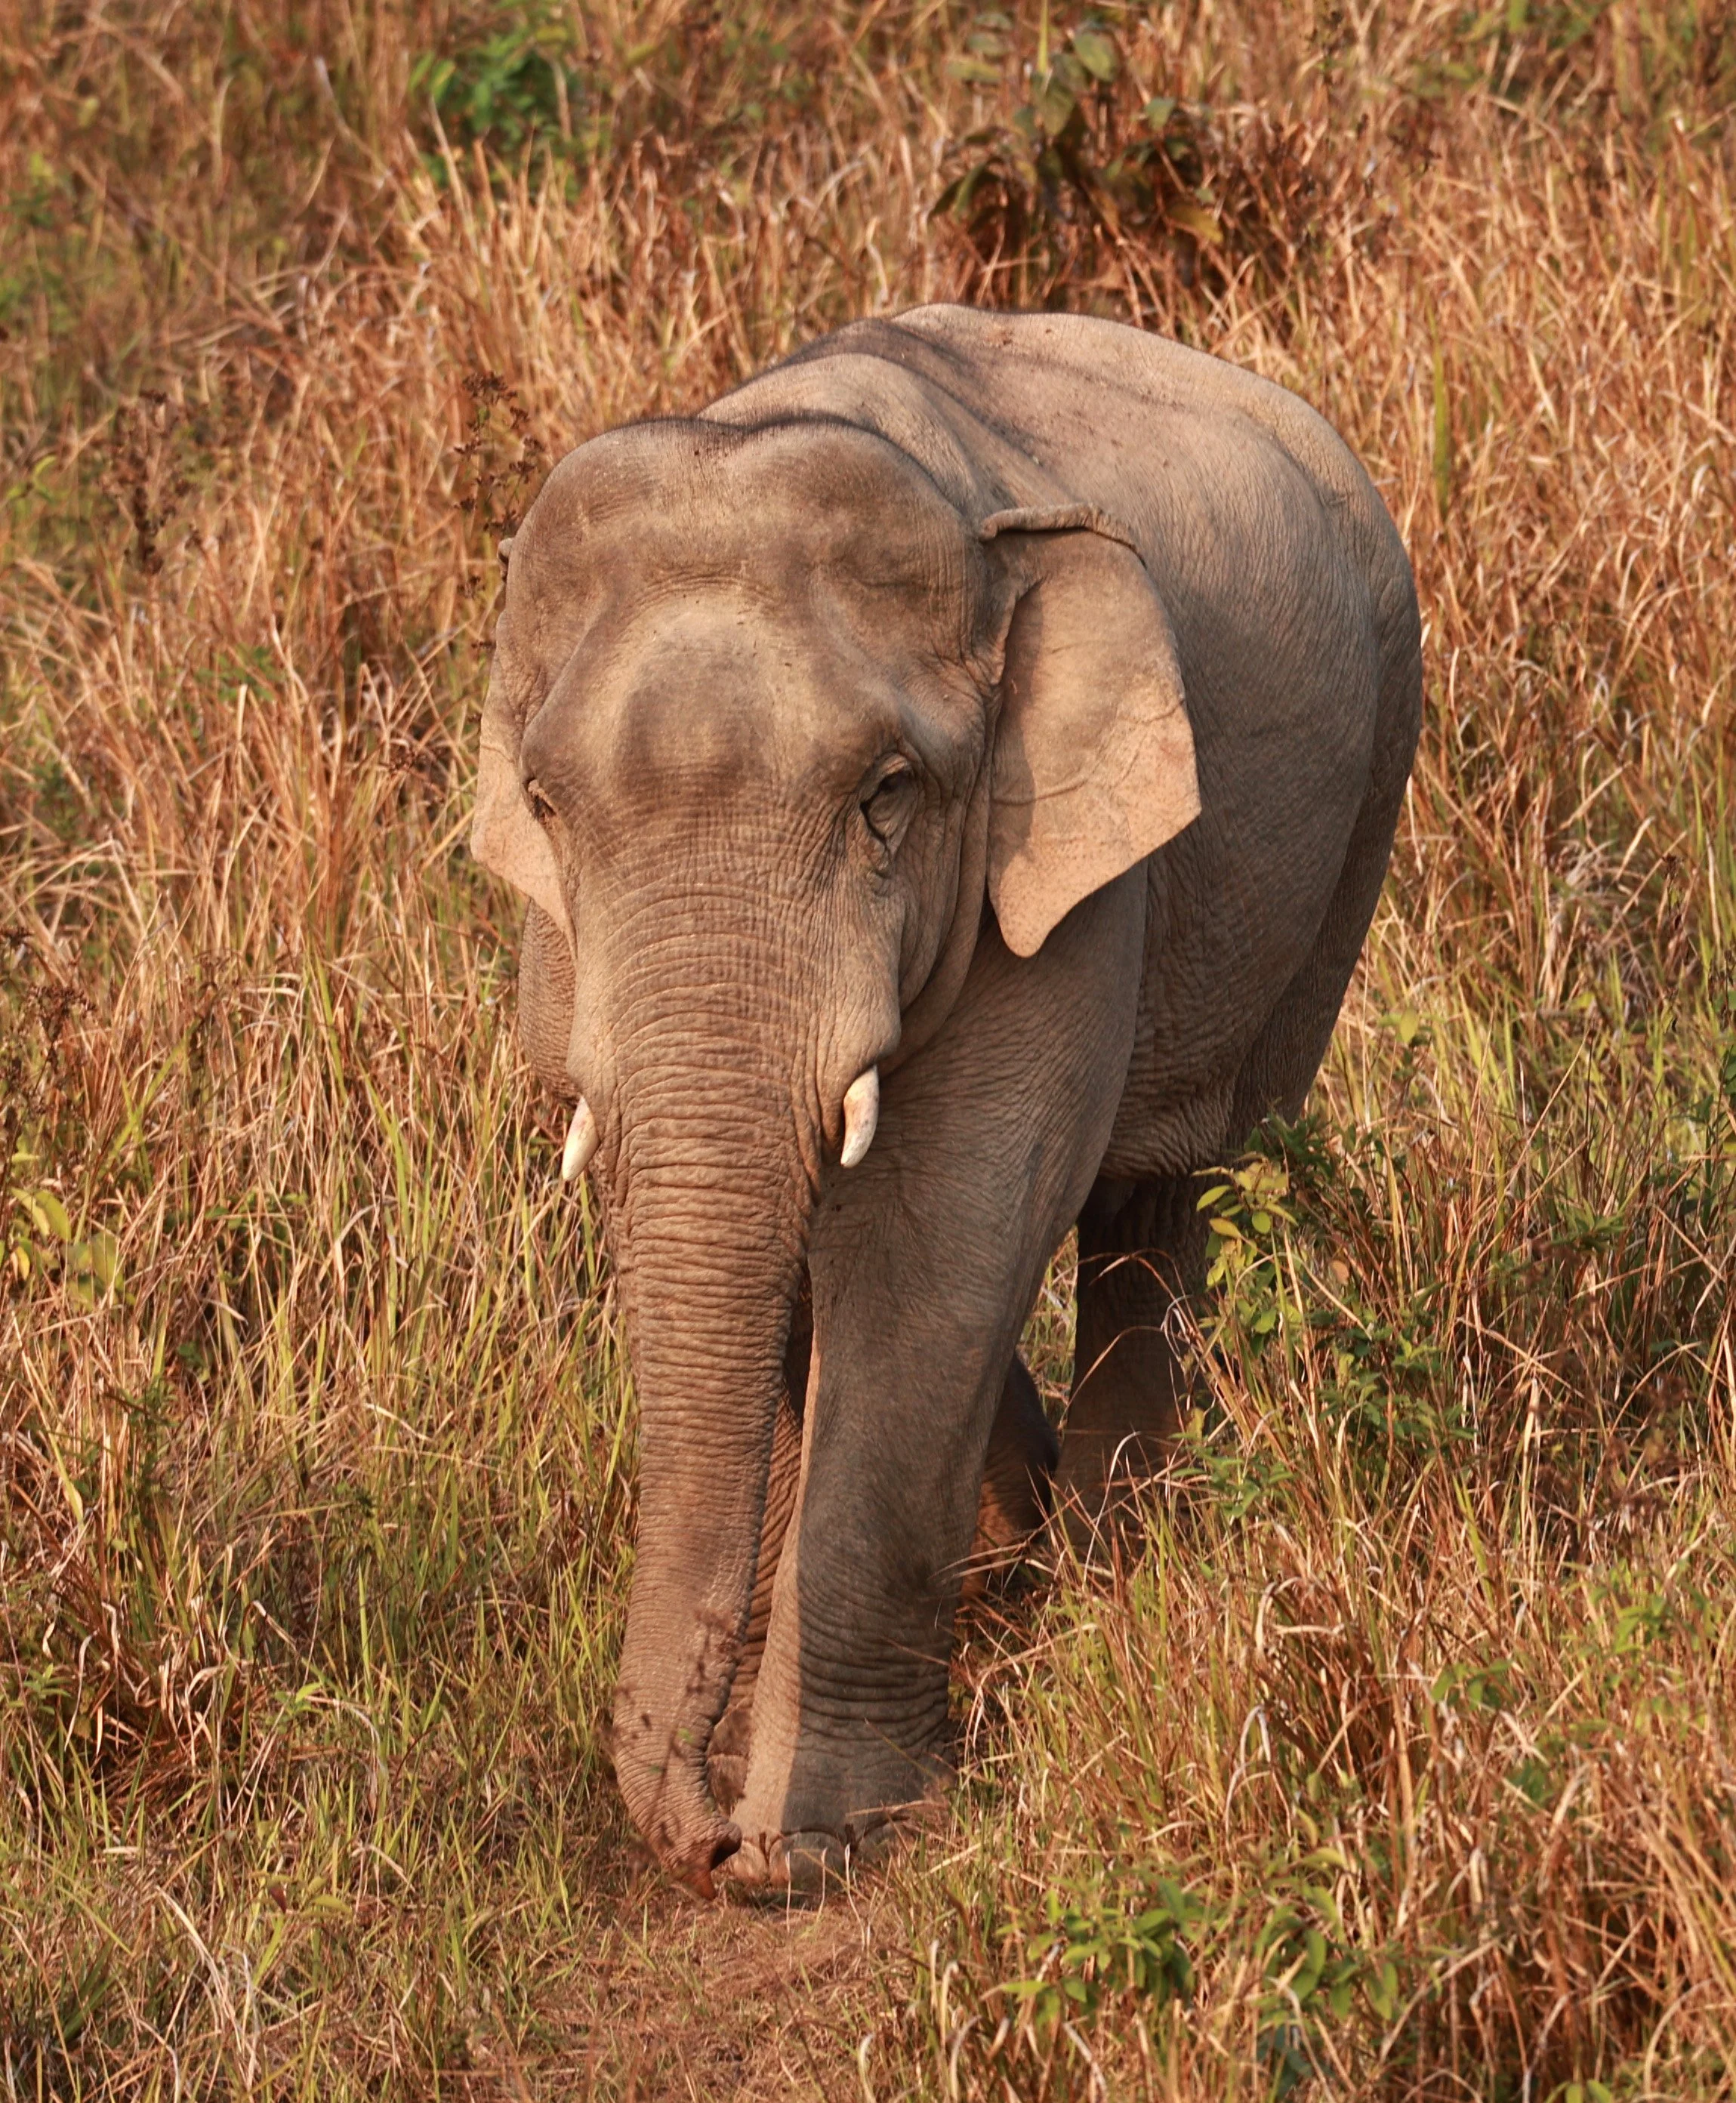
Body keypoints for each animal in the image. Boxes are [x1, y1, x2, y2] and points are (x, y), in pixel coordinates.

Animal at [469, 304, 1422, 1898]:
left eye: (886, 797)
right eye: (545, 808)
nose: (701, 1838)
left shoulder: (1055, 857)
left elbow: (940, 1226)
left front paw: (819, 1838)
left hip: (1366, 791)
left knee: (1167, 1200)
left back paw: (1105, 1566)